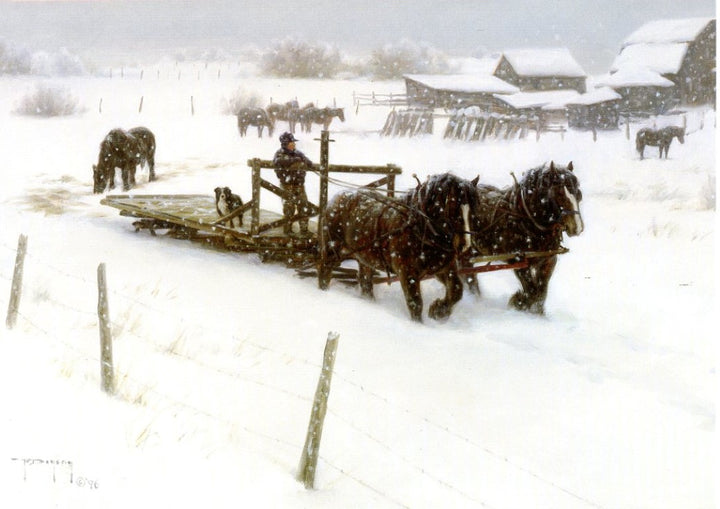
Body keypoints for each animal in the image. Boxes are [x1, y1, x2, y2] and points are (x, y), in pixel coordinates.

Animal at [320, 171, 478, 322]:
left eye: (472, 210)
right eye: (453, 208)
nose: (465, 245)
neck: (420, 229)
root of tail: (337, 197)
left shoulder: (443, 268)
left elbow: (456, 290)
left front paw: (438, 311)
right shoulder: (407, 272)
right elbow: (415, 303)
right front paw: (419, 325)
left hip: (365, 259)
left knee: (365, 281)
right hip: (333, 249)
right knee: (325, 270)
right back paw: (323, 292)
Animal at [462, 162, 584, 314]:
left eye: (579, 193)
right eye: (560, 193)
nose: (577, 228)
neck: (526, 219)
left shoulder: (549, 260)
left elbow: (541, 292)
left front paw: (536, 312)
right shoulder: (518, 260)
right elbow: (532, 291)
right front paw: (518, 302)